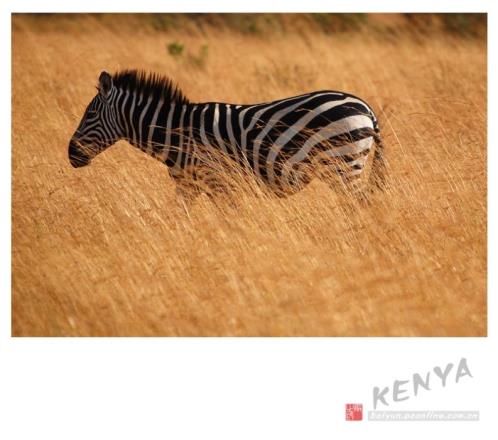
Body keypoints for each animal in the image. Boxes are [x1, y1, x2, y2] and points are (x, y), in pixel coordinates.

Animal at [68, 70, 386, 203]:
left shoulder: (217, 181)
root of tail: (365, 107)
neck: (178, 132)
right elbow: (179, 217)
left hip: (342, 164)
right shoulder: (189, 185)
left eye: (89, 115)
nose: (70, 155)